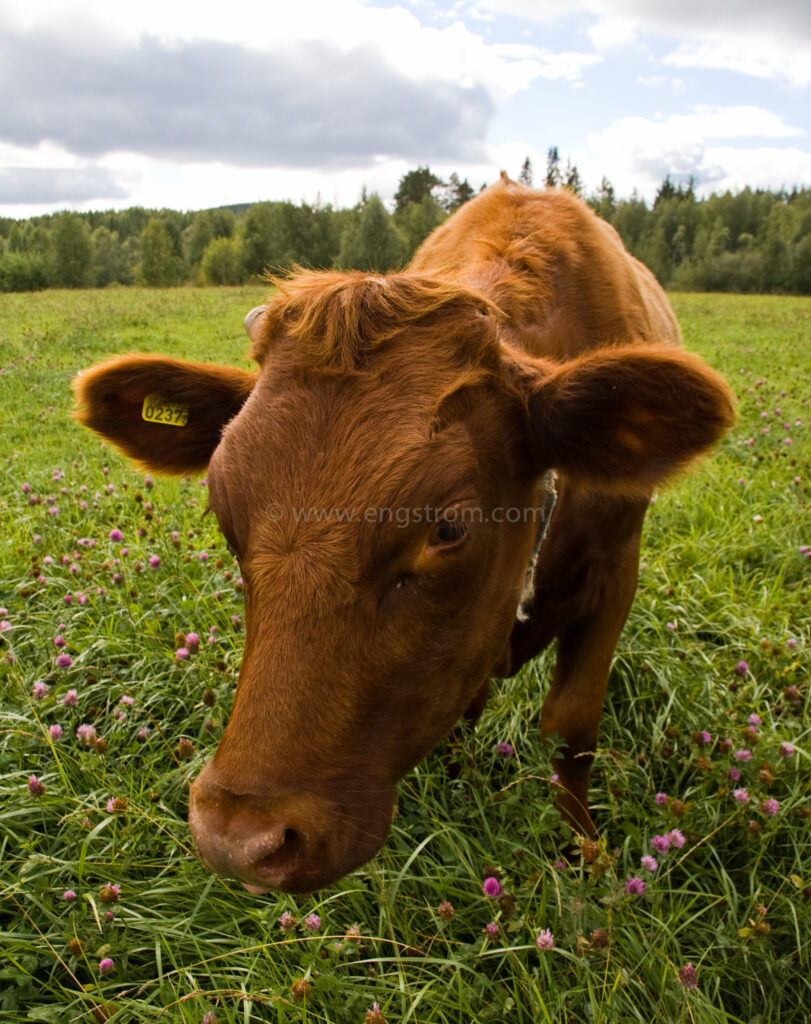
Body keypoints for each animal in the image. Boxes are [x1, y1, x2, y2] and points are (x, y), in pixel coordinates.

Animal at [75, 178, 733, 897]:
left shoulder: (616, 568)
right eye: (224, 512)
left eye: (447, 528)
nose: (237, 841)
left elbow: (572, 726)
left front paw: (585, 852)